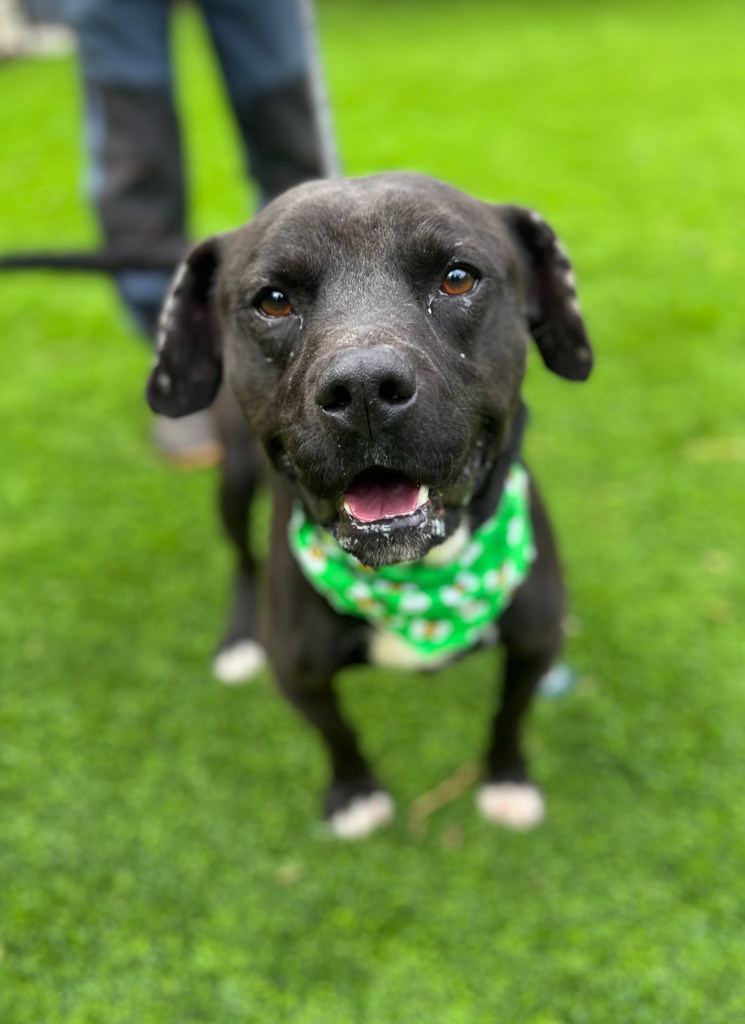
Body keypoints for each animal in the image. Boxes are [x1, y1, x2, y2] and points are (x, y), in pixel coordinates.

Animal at [147, 172, 593, 835]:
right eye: (272, 300)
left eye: (457, 277)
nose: (362, 389)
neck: (420, 581)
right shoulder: (300, 673)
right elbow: (337, 734)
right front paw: (354, 795)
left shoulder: (534, 643)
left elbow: (509, 715)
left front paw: (507, 780)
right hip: (233, 483)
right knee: (242, 559)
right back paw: (237, 640)